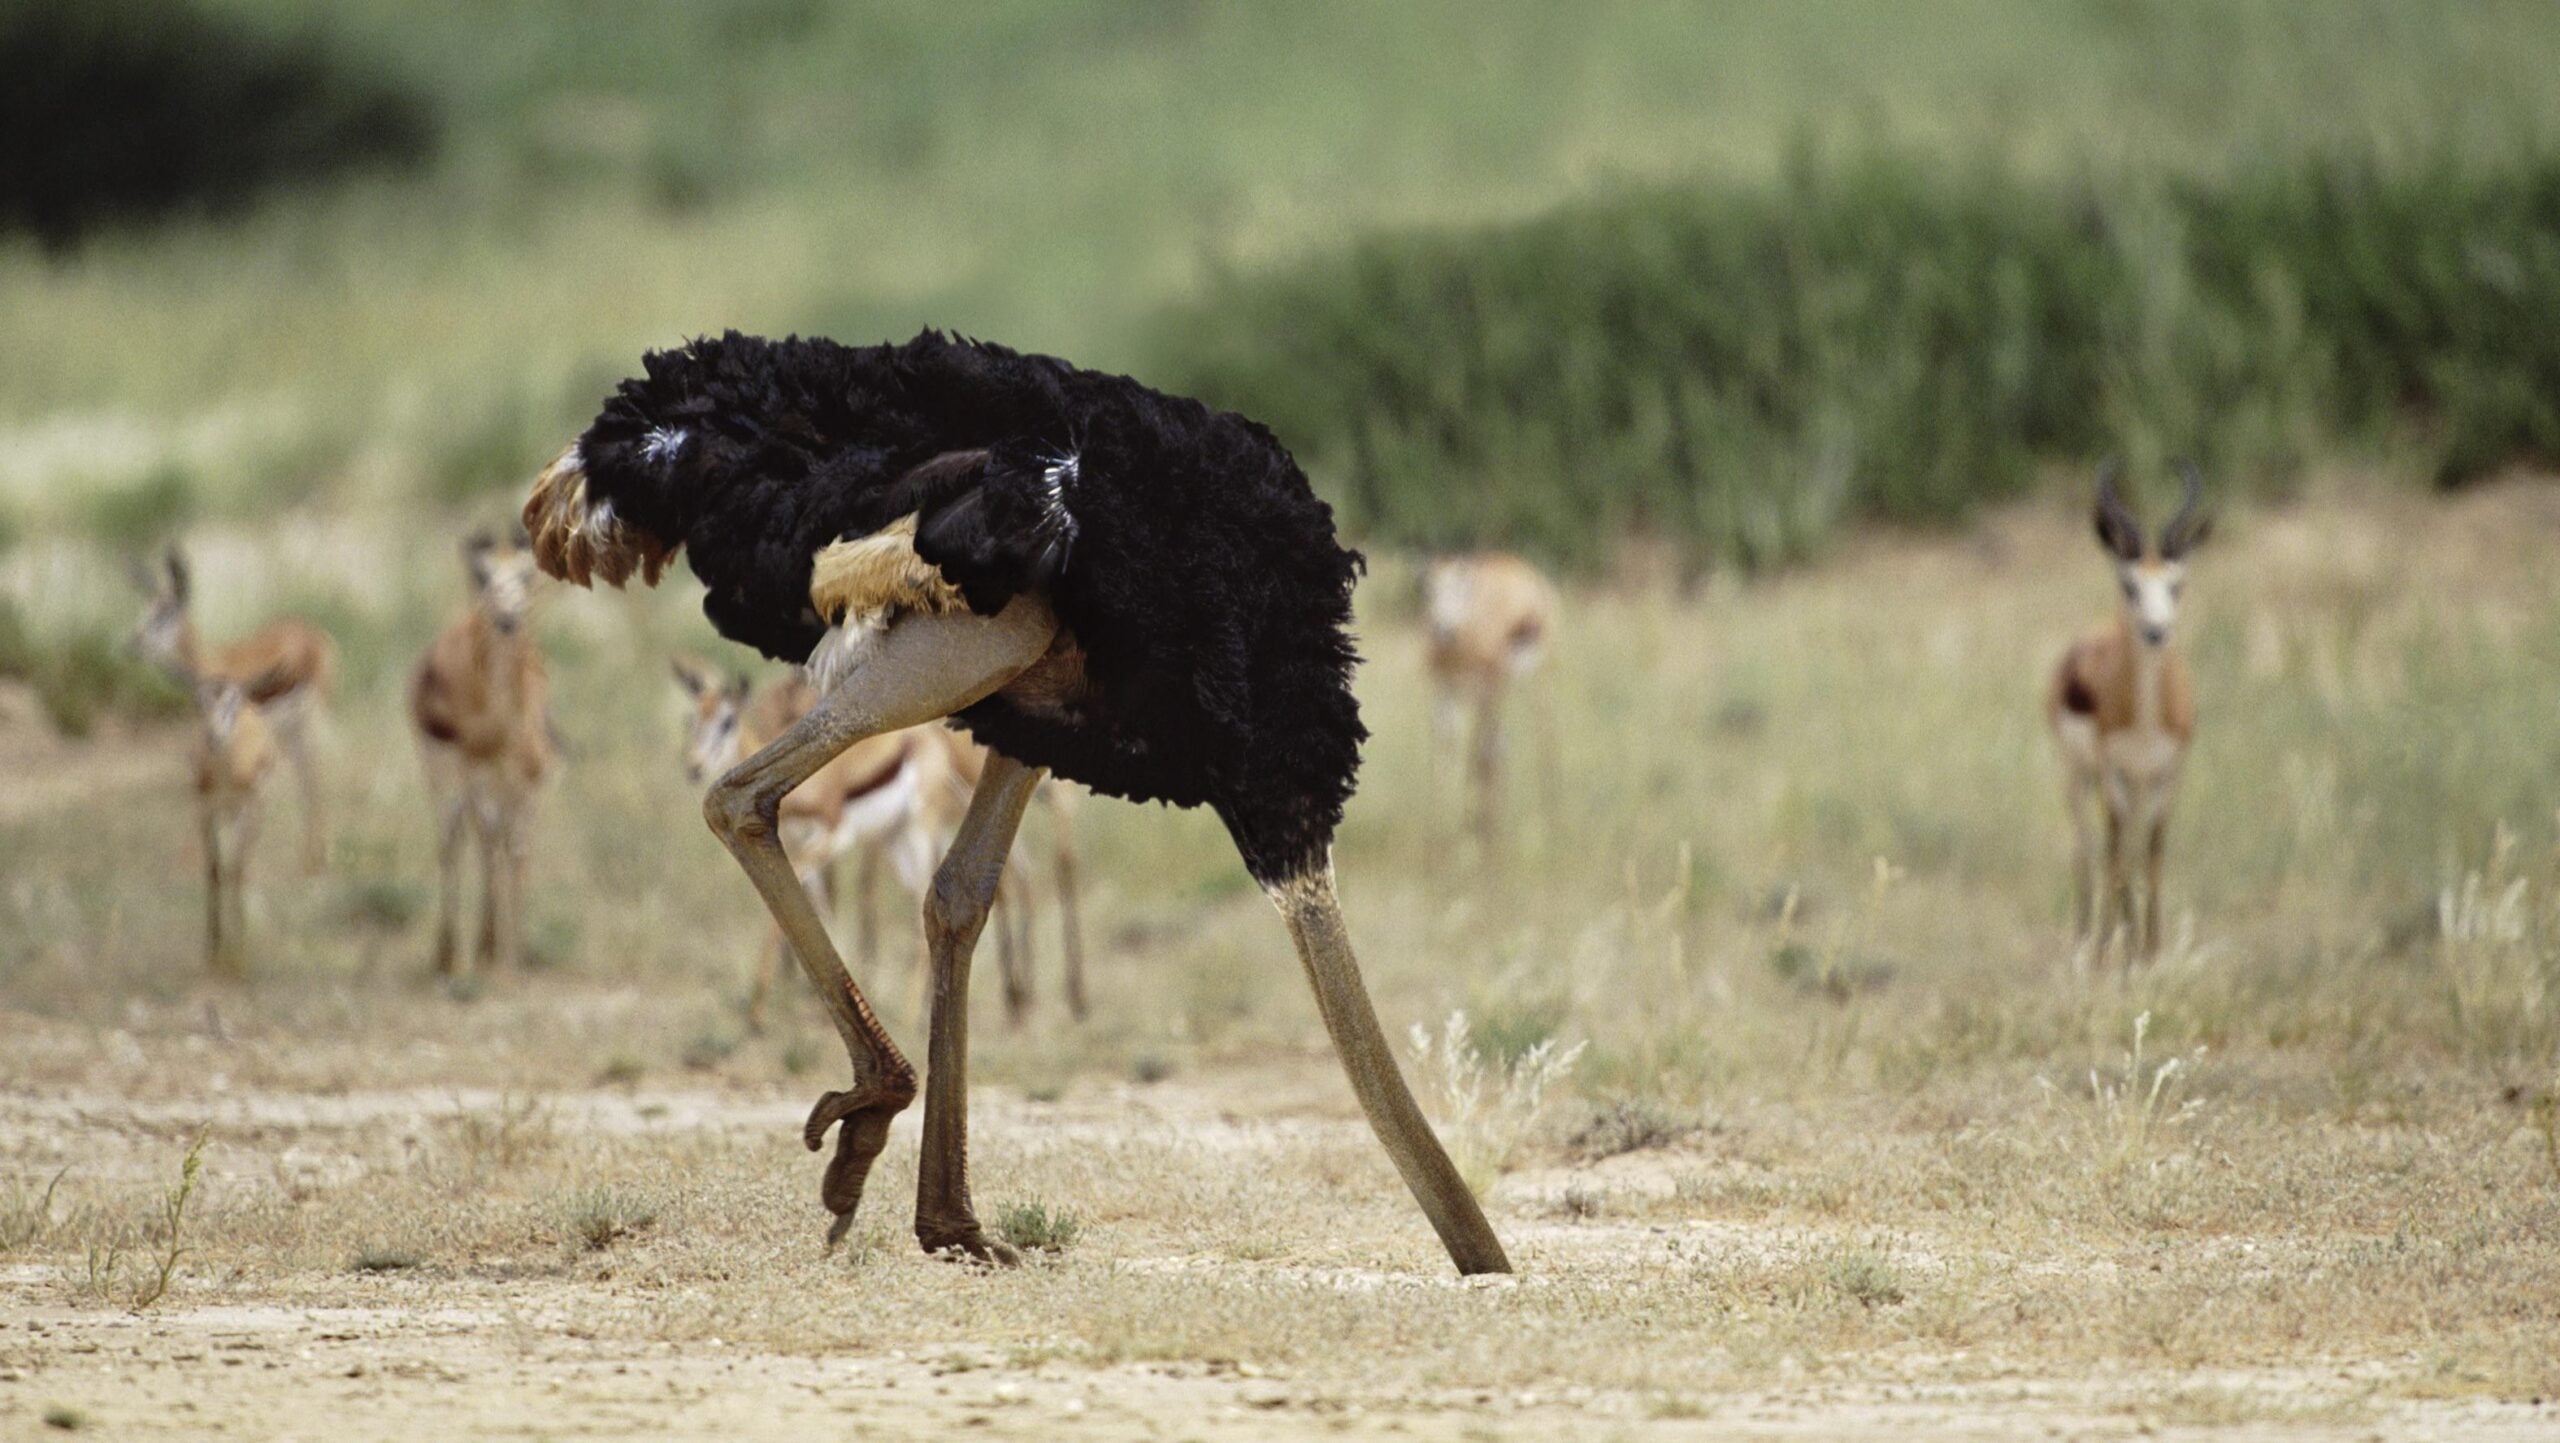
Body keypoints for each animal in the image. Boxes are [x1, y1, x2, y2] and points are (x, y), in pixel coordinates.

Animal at [133, 546, 336, 873]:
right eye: (145, 608)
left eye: (164, 612)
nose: (133, 645)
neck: (209, 660)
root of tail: (316, 635)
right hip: (291, 728)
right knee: (307, 774)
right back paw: (312, 857)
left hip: (306, 721)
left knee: (314, 771)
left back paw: (316, 859)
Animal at [190, 677, 277, 978]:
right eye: (201, 702)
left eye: (229, 707)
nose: (213, 736)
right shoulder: (205, 810)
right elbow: (214, 871)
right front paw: (213, 949)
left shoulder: (246, 808)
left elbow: (236, 869)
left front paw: (239, 952)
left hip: (256, 812)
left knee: (244, 863)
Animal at [411, 531, 553, 977]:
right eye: (483, 575)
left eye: (527, 574)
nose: (507, 619)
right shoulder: (481, 782)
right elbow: (492, 844)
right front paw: (492, 956)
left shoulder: (531, 787)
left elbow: (517, 851)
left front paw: (512, 959)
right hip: (443, 778)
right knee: (453, 840)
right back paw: (449, 955)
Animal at [1421, 551, 1556, 837]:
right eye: (1429, 590)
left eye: (1460, 588)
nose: (1442, 628)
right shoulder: (1444, 687)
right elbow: (1444, 742)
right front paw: (1438, 826)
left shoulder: (1485, 686)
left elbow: (1481, 750)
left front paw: (1471, 826)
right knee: (1499, 743)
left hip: (1530, 682)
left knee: (1541, 739)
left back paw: (1552, 820)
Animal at [2049, 459, 2212, 967]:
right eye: (2129, 584)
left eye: (2177, 584)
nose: (2156, 632)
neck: (2144, 718)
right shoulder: (2112, 772)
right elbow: (2115, 856)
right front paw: (2109, 951)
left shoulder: (2168, 773)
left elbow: (2152, 855)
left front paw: (2152, 950)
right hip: (2076, 774)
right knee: (2088, 850)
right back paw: (2089, 939)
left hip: (2136, 783)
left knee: (2128, 851)